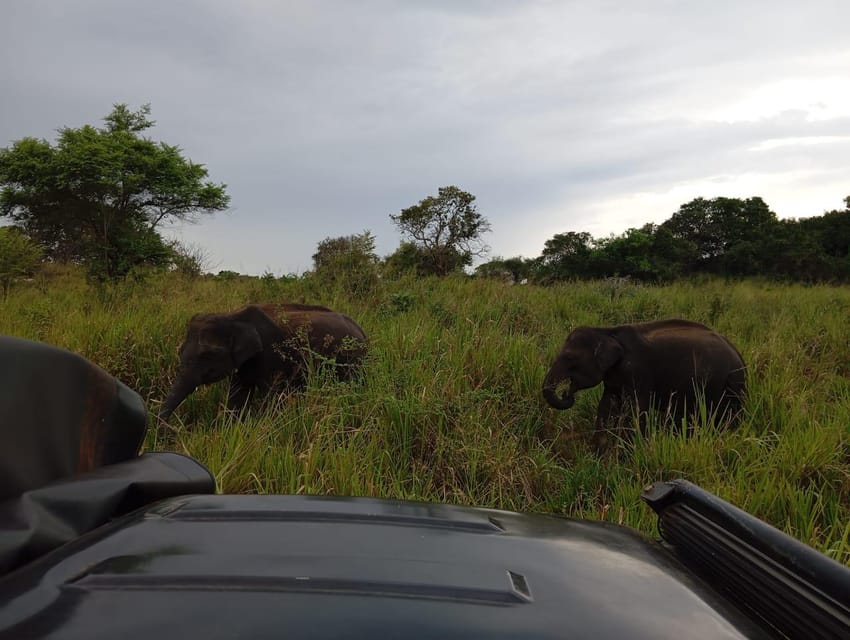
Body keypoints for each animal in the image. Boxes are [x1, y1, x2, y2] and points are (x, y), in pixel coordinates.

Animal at [161, 304, 366, 420]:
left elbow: (273, 397)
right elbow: (239, 394)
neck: (232, 317)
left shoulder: (272, 353)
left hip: (352, 360)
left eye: (207, 355)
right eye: (180, 352)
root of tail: (361, 330)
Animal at [544, 318, 744, 450]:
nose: (566, 393)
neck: (607, 332)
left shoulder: (637, 371)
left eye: (569, 357)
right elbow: (606, 405)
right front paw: (597, 452)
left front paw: (626, 454)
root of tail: (739, 355)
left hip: (731, 385)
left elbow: (636, 410)